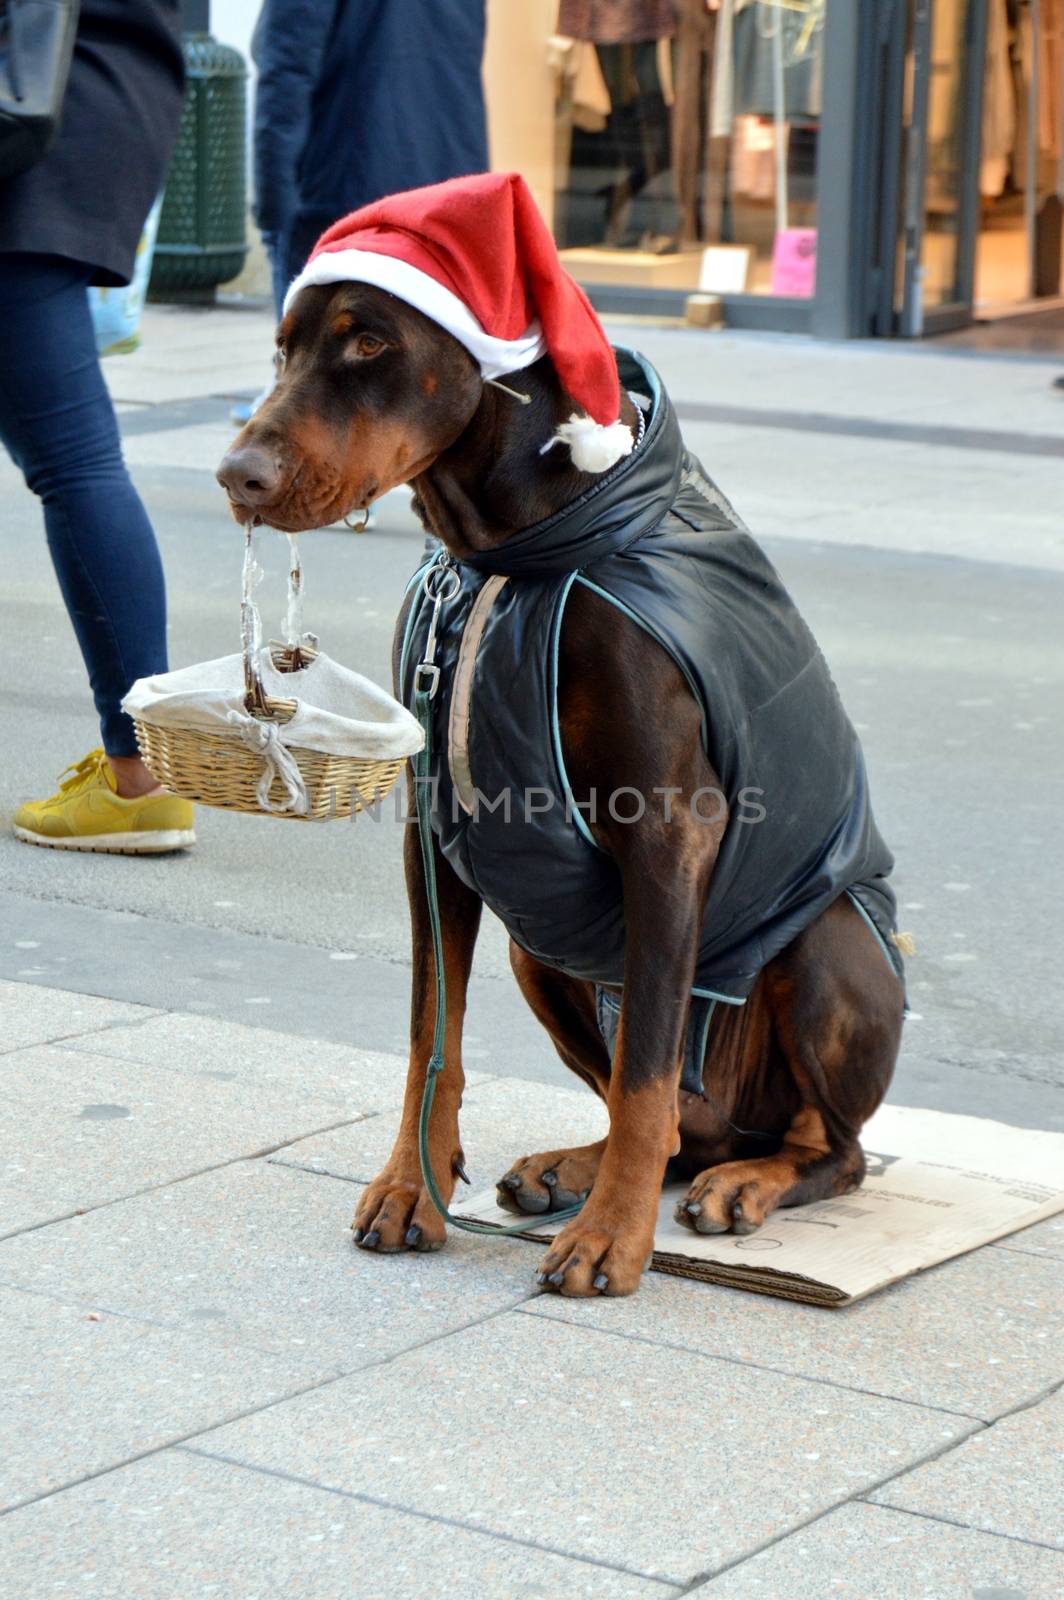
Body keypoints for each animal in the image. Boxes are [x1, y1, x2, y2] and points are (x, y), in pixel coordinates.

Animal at [217, 281, 902, 1292]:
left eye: (371, 341)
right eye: (282, 348)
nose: (238, 476)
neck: (501, 556)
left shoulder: (667, 830)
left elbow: (648, 1063)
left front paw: (613, 1238)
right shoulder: (435, 832)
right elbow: (432, 1031)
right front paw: (411, 1188)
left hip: (824, 943)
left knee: (824, 1146)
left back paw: (743, 1183)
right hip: (539, 949)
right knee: (679, 1131)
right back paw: (573, 1167)